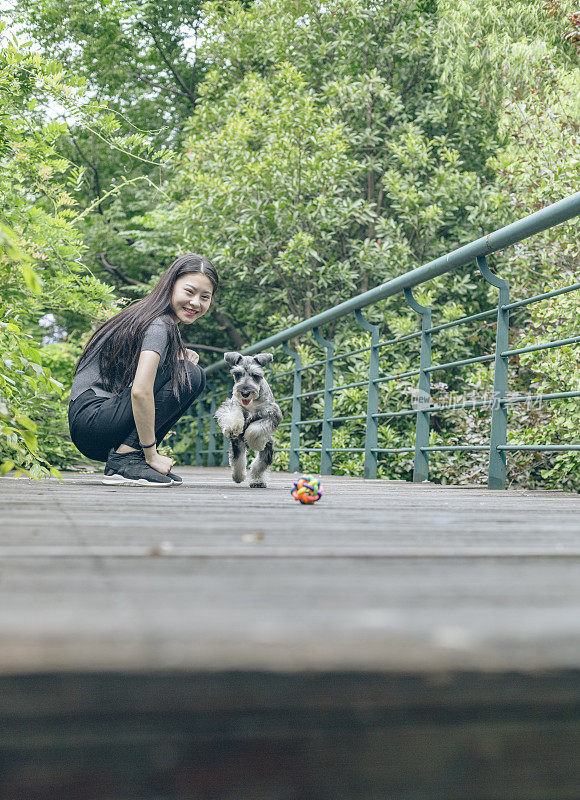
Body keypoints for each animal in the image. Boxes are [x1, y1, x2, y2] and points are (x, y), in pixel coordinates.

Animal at [215, 354, 284, 490]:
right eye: (237, 374)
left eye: (255, 375)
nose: (245, 392)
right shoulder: (233, 405)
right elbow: (233, 415)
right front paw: (233, 428)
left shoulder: (271, 414)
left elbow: (255, 429)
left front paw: (254, 442)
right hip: (237, 443)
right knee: (238, 460)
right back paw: (238, 476)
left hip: (267, 448)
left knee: (259, 466)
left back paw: (258, 481)